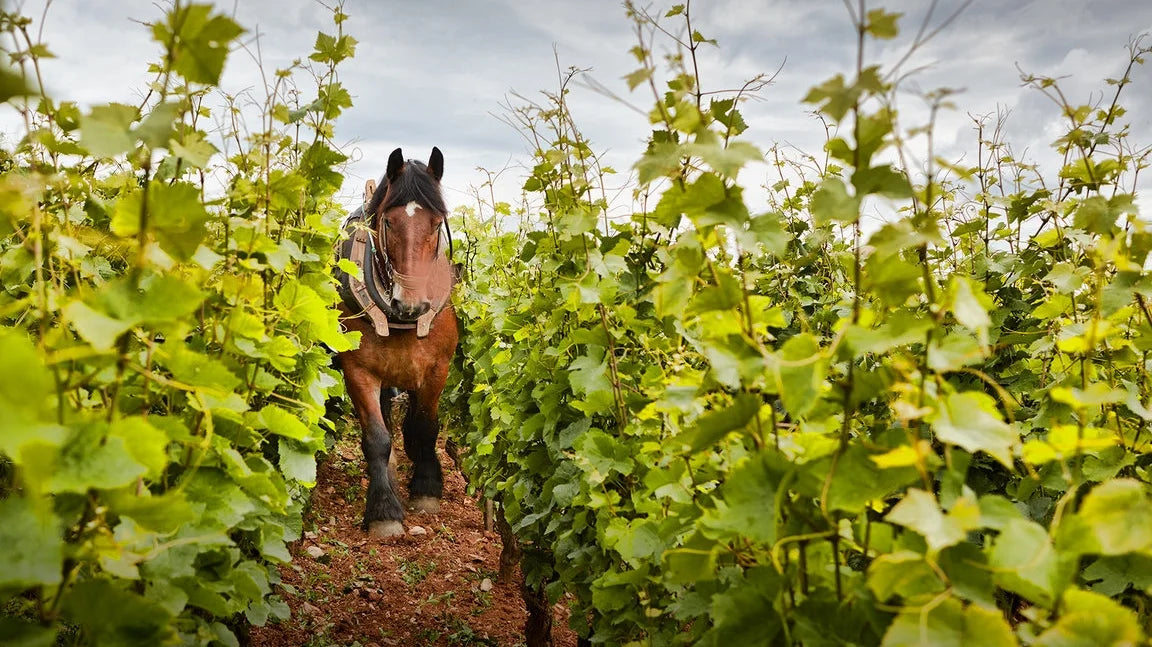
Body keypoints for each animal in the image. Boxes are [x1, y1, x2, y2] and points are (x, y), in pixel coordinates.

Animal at [334, 146, 458, 534]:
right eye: (388, 222)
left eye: (436, 223)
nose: (411, 304)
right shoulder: (357, 370)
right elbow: (377, 437)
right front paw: (383, 510)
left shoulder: (437, 368)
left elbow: (425, 426)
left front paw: (427, 487)